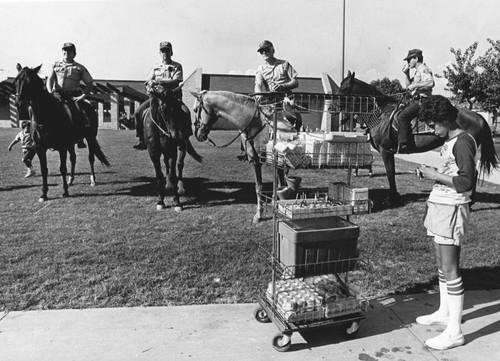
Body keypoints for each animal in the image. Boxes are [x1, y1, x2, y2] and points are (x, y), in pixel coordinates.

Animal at [14, 63, 109, 201]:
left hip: (90, 137)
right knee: (73, 158)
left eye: (29, 82)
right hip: (72, 143)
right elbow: (44, 169)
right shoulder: (40, 148)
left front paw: (65, 191)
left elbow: (62, 168)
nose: (18, 103)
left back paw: (92, 180)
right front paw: (44, 194)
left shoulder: (62, 147)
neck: (47, 116)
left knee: (91, 158)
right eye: (16, 81)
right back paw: (70, 180)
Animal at [338, 71, 498, 204]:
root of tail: (477, 116)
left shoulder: (386, 151)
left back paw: (470, 202)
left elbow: (390, 173)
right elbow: (392, 173)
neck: (379, 115)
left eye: (344, 89)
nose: (335, 105)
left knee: (472, 173)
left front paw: (393, 198)